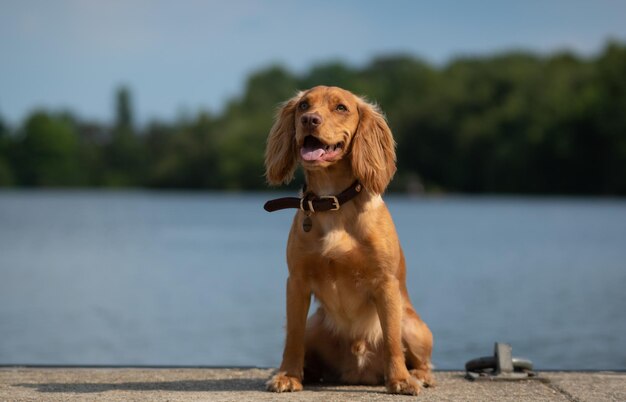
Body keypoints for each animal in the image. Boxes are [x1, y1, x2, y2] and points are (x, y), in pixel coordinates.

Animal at [260, 85, 432, 396]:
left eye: (341, 108)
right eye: (304, 105)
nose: (310, 120)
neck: (333, 202)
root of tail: (358, 372)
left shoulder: (385, 283)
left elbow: (391, 339)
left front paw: (400, 380)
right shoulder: (296, 282)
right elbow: (293, 336)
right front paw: (288, 376)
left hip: (414, 326)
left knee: (419, 357)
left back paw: (419, 375)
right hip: (316, 325)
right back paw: (309, 372)